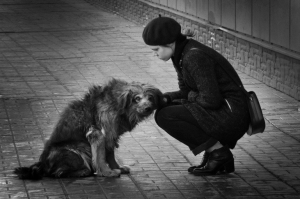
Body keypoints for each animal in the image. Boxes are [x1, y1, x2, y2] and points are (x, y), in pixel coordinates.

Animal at [13, 78, 164, 179]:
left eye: (150, 98)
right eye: (137, 98)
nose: (148, 108)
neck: (117, 103)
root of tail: (42, 164)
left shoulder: (111, 134)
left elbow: (110, 155)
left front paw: (117, 167)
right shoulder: (98, 134)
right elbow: (101, 157)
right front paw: (107, 172)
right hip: (76, 149)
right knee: (57, 173)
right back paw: (83, 171)